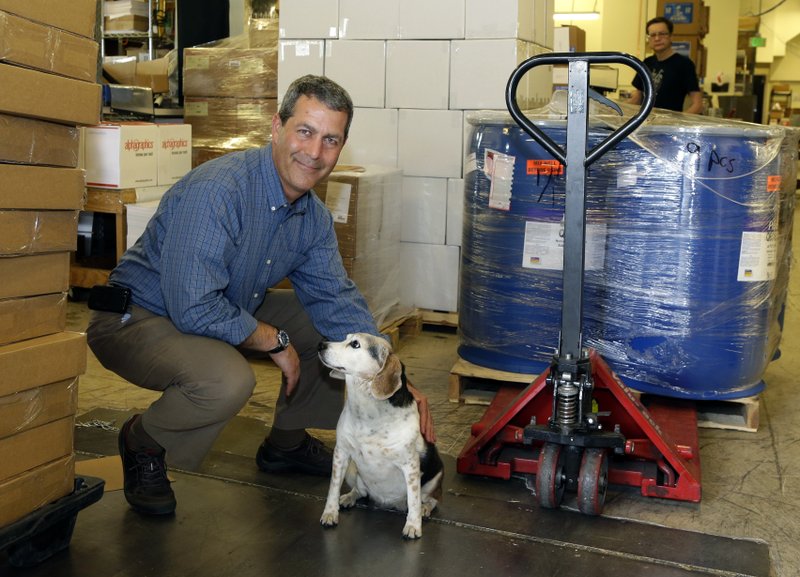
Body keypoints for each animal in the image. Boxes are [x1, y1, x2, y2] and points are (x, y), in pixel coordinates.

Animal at [318, 332, 444, 540]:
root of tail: (389, 503)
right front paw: (330, 513)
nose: (321, 345)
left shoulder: (410, 466)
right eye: (345, 338)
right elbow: (333, 488)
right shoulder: (341, 453)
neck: (367, 412)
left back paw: (425, 509)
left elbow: (414, 500)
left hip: (436, 477)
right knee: (360, 491)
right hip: (352, 471)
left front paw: (413, 525)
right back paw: (349, 497)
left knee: (431, 500)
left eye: (355, 344)